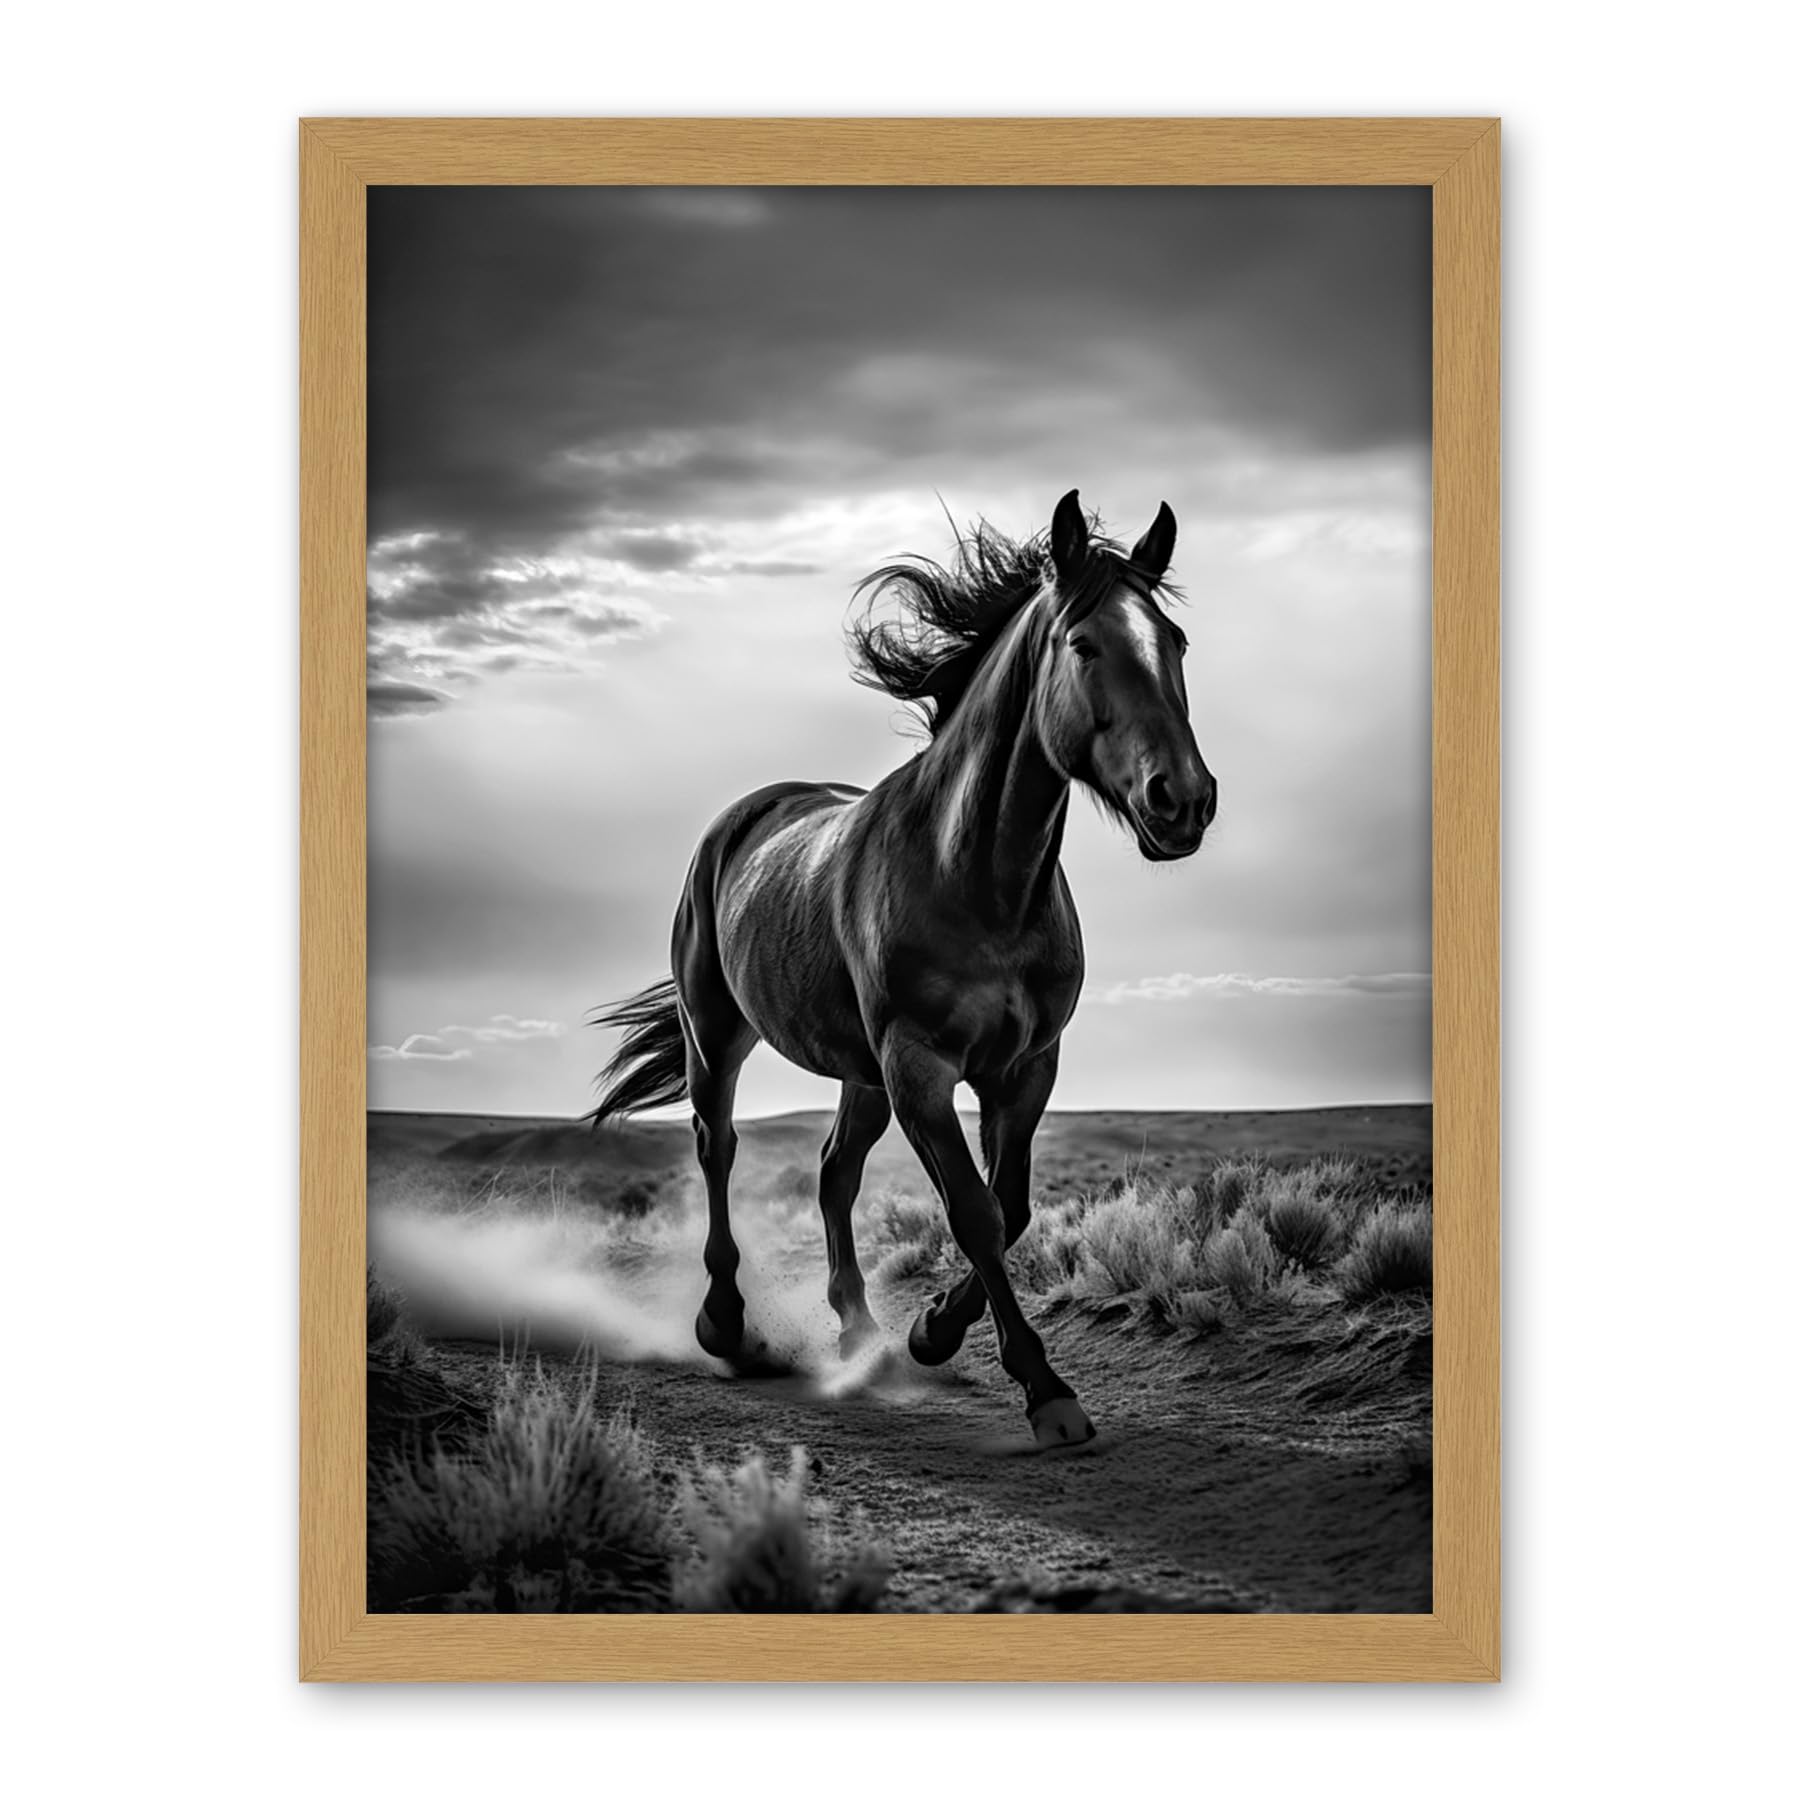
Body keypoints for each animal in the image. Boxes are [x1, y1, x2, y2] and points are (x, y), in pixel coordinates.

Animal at [589, 490, 1216, 1447]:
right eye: (1084, 645)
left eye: (1174, 642)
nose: (1183, 801)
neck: (978, 878)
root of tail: (741, 818)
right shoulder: (919, 1066)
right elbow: (975, 1212)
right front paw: (1044, 1389)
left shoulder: (1024, 1068)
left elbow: (1012, 1207)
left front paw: (931, 1332)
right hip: (720, 1038)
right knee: (717, 1147)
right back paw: (727, 1325)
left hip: (859, 1073)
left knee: (833, 1172)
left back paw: (861, 1334)